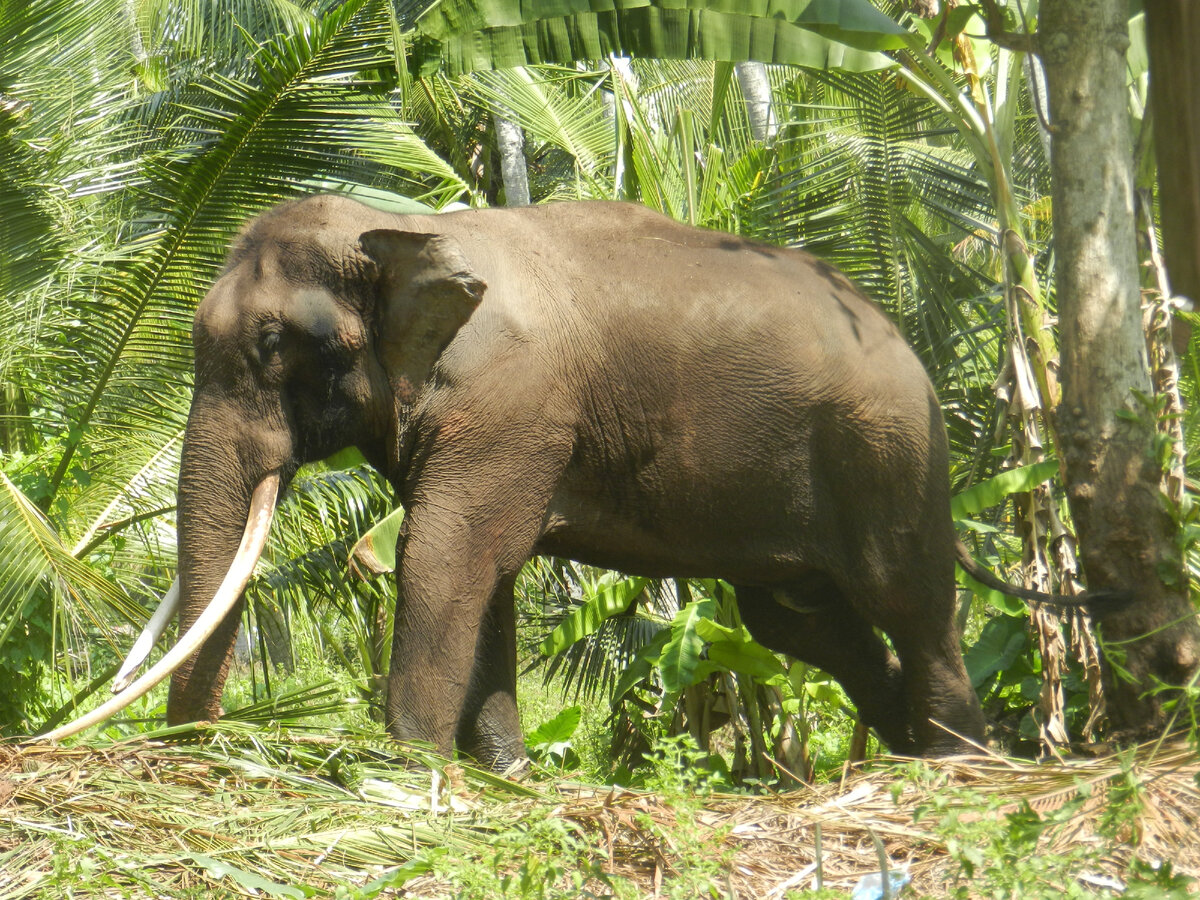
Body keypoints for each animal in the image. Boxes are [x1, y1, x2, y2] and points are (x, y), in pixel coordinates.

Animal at [39, 194, 993, 763]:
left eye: (273, 343)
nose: (197, 748)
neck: (402, 225)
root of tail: (901, 337)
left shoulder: (510, 402)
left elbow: (442, 555)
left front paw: (412, 765)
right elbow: (483, 575)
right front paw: (506, 770)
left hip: (887, 452)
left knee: (907, 598)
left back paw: (958, 760)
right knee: (800, 619)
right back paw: (909, 743)